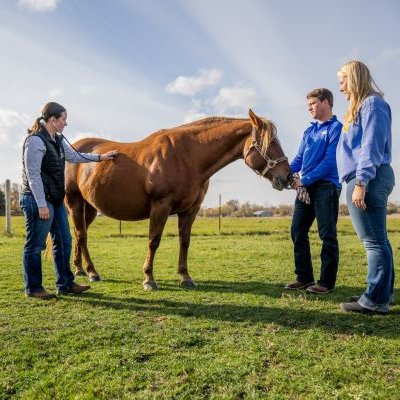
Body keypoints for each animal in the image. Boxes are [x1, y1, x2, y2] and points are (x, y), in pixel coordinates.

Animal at [65, 109, 290, 290]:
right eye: (270, 143)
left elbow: (185, 241)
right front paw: (149, 279)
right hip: (75, 202)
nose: (287, 176)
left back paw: (80, 269)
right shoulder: (160, 207)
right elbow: (154, 241)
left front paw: (186, 277)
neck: (187, 157)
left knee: (79, 234)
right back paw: (92, 272)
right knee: (81, 235)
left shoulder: (190, 210)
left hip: (89, 208)